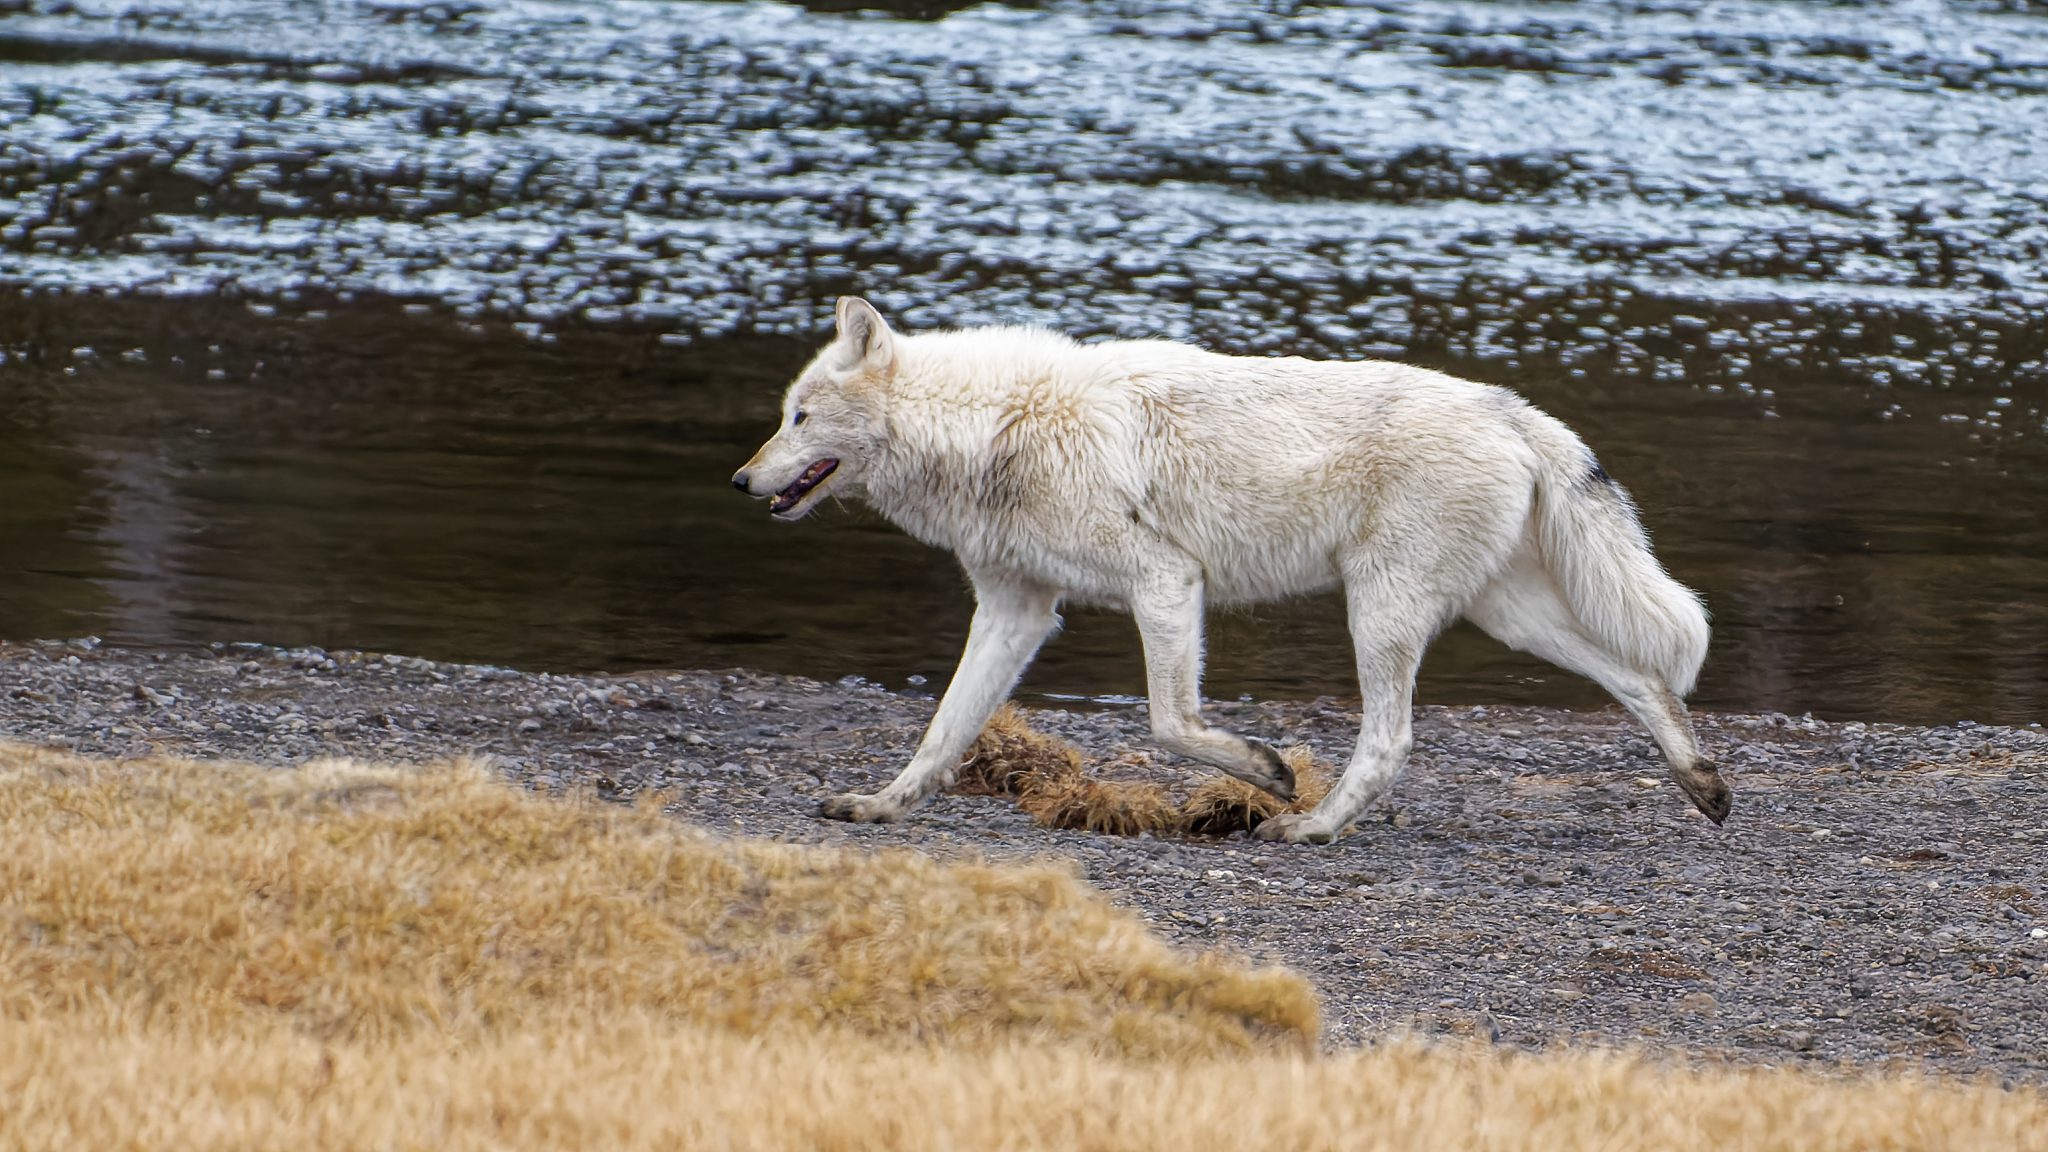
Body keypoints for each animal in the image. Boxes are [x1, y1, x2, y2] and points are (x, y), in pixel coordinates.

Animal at [737, 295, 1728, 840]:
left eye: (796, 418)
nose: (743, 482)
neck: (996, 426)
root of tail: (1510, 407)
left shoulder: (1165, 582)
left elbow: (1171, 721)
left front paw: (1267, 772)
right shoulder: (1017, 612)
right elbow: (941, 733)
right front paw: (880, 808)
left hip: (1383, 613)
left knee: (1392, 740)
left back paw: (1311, 826)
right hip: (1508, 617)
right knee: (1643, 679)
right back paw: (1704, 785)